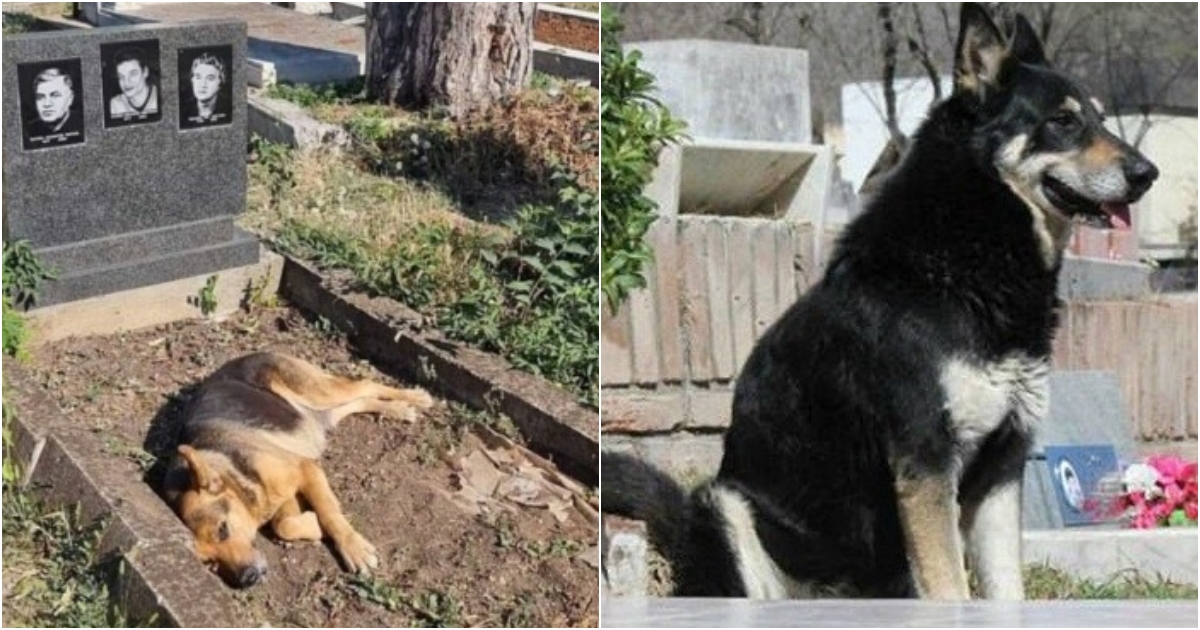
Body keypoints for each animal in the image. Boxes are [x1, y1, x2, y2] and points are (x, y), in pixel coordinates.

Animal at [158, 350, 432, 588]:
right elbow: (286, 525)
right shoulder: (283, 494)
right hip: (322, 413)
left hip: (321, 392)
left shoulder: (305, 469)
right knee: (359, 400)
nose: (248, 579)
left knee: (364, 384)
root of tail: (247, 354)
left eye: (223, 529)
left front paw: (351, 546)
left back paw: (414, 397)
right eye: (210, 563)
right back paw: (398, 409)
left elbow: (328, 514)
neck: (234, 473)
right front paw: (315, 525)